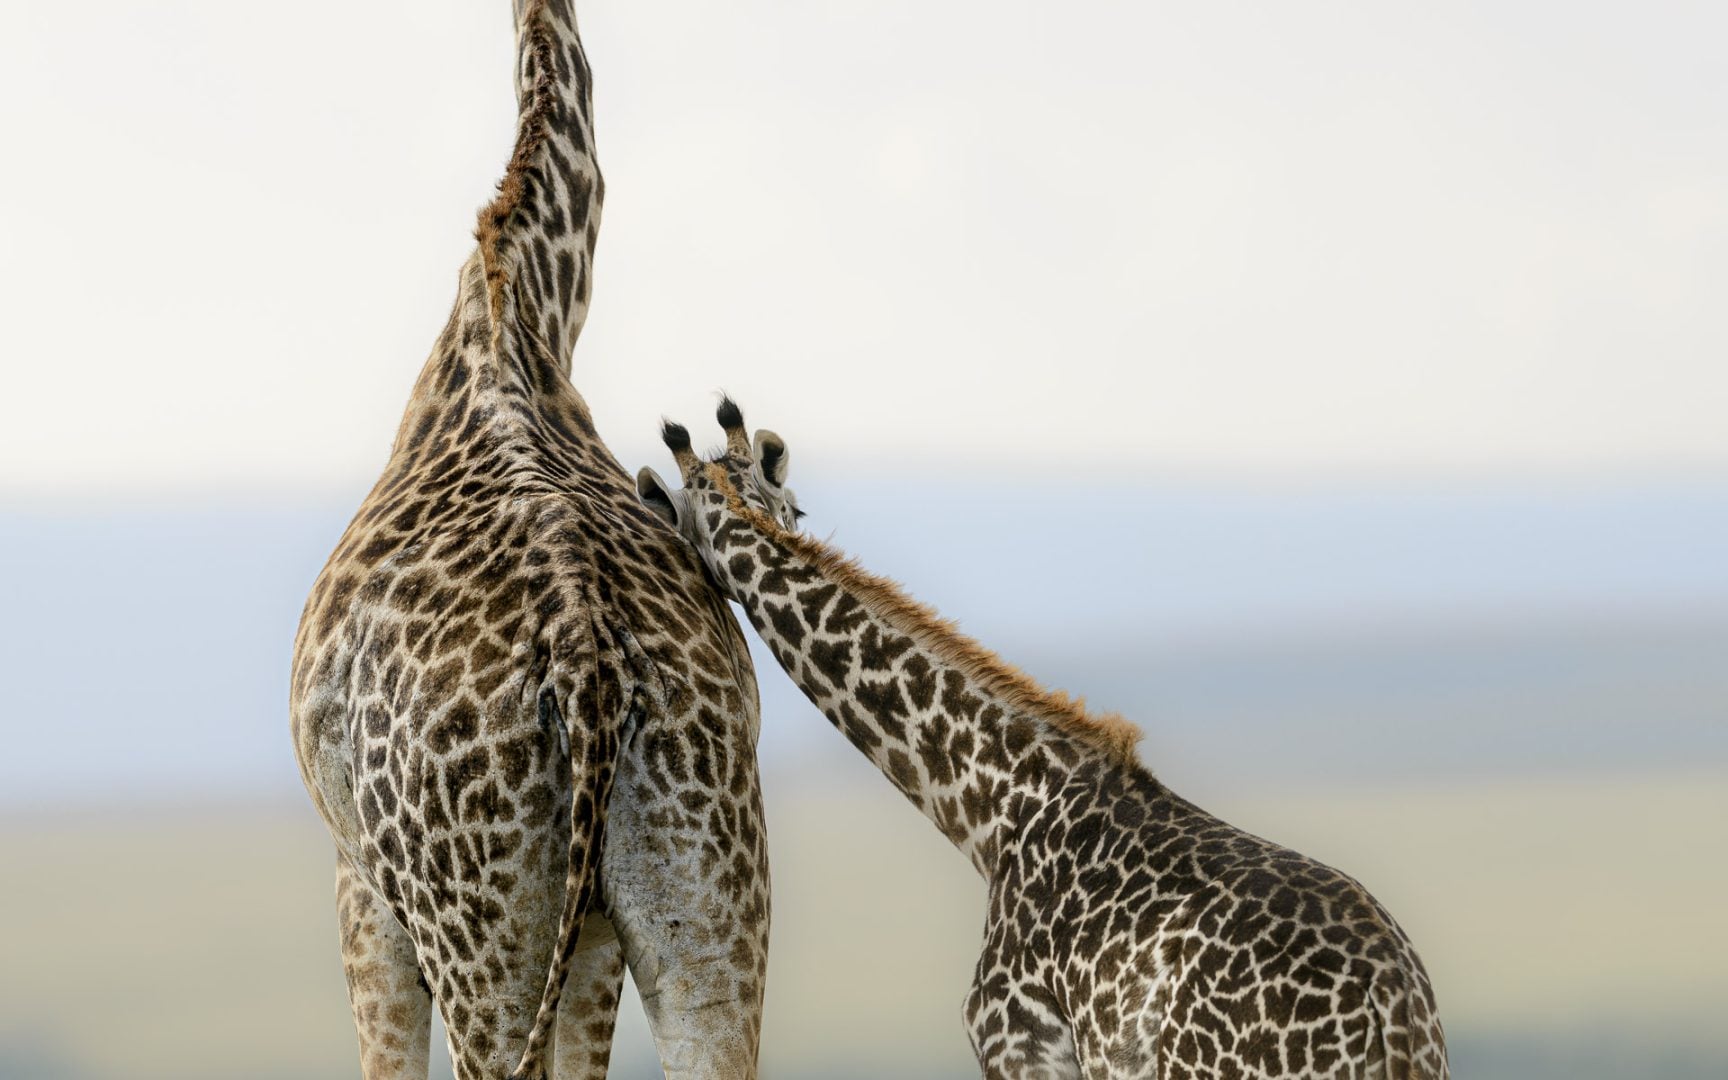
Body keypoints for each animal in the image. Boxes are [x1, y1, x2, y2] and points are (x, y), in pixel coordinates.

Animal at [290, 5, 770, 1078]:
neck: (522, 305)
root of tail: (587, 664)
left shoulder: (360, 889)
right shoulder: (592, 931)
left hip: (474, 925)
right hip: (711, 888)